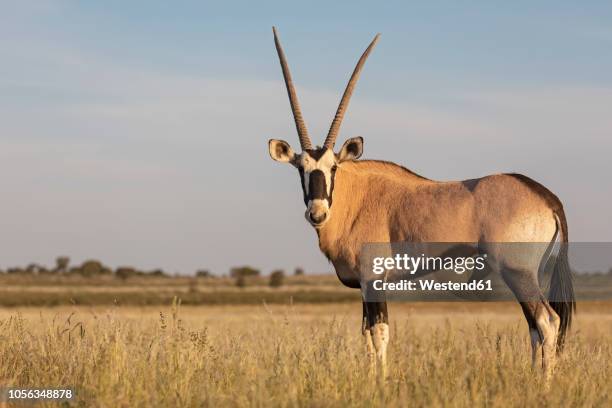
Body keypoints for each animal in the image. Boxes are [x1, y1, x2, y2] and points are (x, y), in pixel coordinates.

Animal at [266, 27, 572, 380]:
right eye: (301, 168)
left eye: (333, 168)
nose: (317, 213)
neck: (355, 198)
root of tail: (545, 196)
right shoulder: (363, 286)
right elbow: (366, 335)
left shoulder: (375, 280)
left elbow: (379, 333)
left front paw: (380, 383)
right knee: (536, 328)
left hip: (519, 272)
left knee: (547, 323)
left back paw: (543, 384)